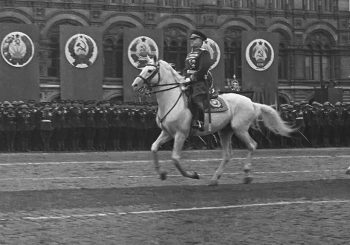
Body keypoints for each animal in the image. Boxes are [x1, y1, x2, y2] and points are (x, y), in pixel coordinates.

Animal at [131, 58, 292, 186]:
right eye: (142, 68)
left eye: (150, 70)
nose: (135, 84)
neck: (171, 100)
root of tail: (251, 102)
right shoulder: (167, 133)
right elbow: (153, 148)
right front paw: (162, 173)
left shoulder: (180, 134)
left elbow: (175, 158)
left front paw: (193, 175)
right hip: (225, 132)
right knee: (227, 154)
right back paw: (215, 179)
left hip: (239, 129)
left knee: (252, 145)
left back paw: (247, 175)